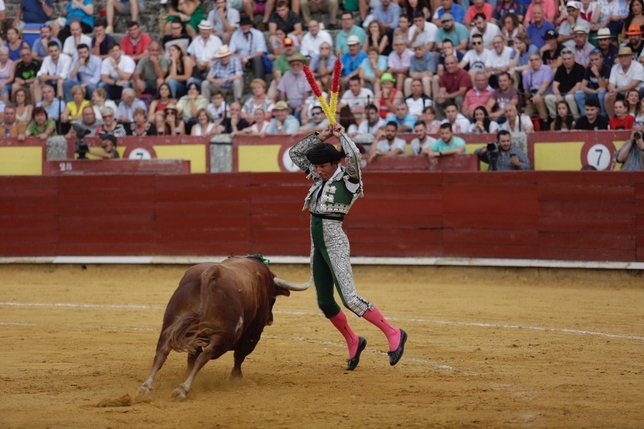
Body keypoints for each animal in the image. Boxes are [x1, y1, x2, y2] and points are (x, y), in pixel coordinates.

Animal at [138, 256, 312, 400]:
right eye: (273, 299)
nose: (270, 320)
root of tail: (211, 272)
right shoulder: (252, 336)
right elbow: (239, 356)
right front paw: (236, 378)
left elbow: (191, 356)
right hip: (223, 336)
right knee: (205, 356)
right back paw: (182, 389)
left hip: (170, 326)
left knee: (162, 352)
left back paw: (145, 388)